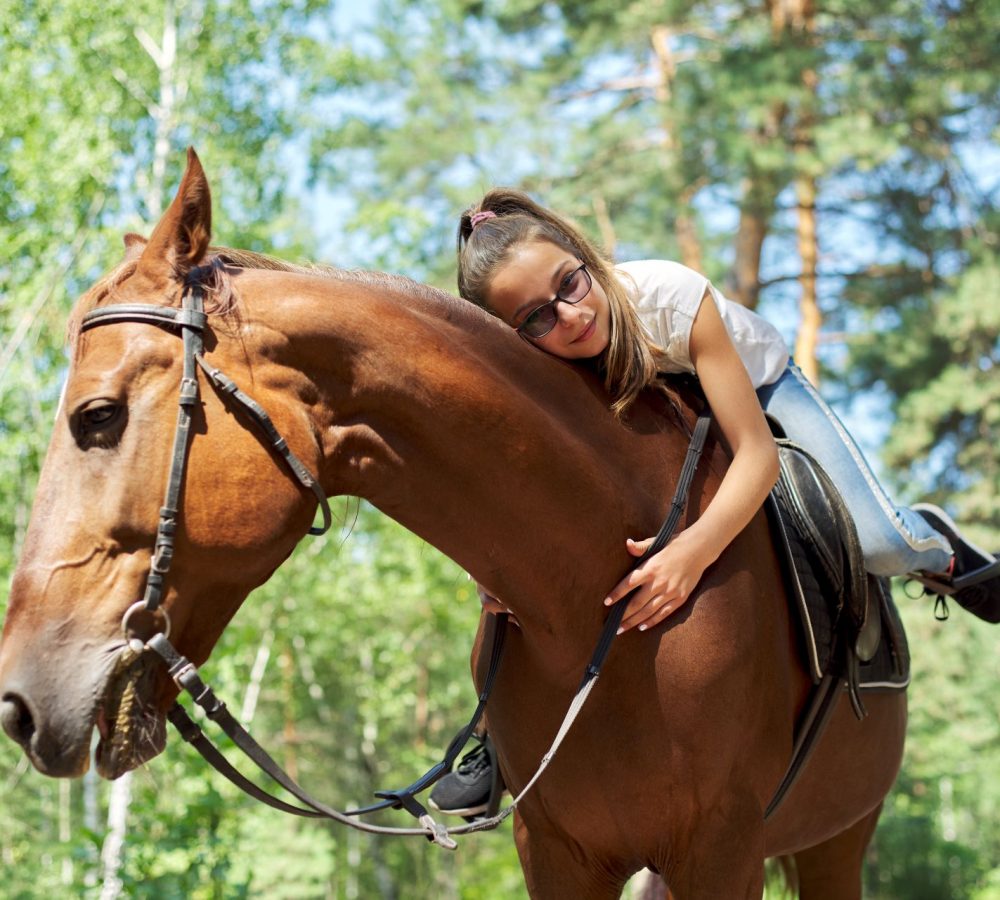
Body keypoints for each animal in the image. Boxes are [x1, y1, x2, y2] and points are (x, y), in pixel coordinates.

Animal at [0, 149, 906, 898]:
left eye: (98, 416)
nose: (18, 701)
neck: (594, 606)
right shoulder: (560, 852)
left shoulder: (722, 851)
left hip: (836, 841)